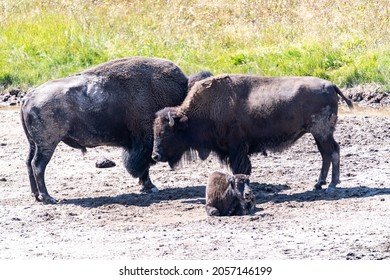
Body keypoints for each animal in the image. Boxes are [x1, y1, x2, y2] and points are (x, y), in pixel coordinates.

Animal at [152, 74, 354, 191]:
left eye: (166, 133)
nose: (155, 155)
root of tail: (331, 85)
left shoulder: (236, 149)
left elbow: (240, 169)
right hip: (318, 134)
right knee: (326, 154)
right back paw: (319, 184)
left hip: (322, 132)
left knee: (332, 151)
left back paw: (332, 185)